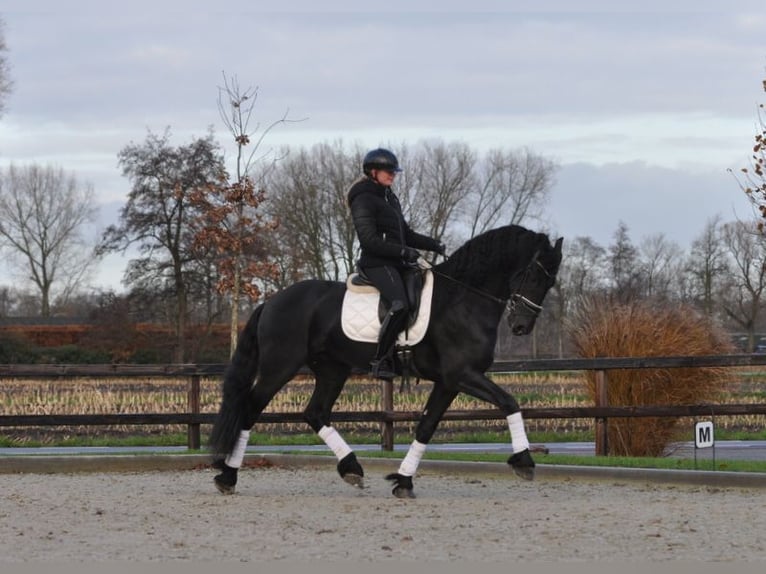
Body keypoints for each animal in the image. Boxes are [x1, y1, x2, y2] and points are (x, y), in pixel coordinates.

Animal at [210, 225, 564, 500]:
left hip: (332, 369)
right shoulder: (463, 374)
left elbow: (427, 426)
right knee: (250, 409)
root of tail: (271, 301)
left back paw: (351, 468)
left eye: (550, 282)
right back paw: (227, 476)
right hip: (279, 367)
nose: (521, 327)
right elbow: (509, 401)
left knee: (315, 412)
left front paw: (404, 481)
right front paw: (524, 462)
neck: (463, 299)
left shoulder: (449, 381)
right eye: (533, 274)